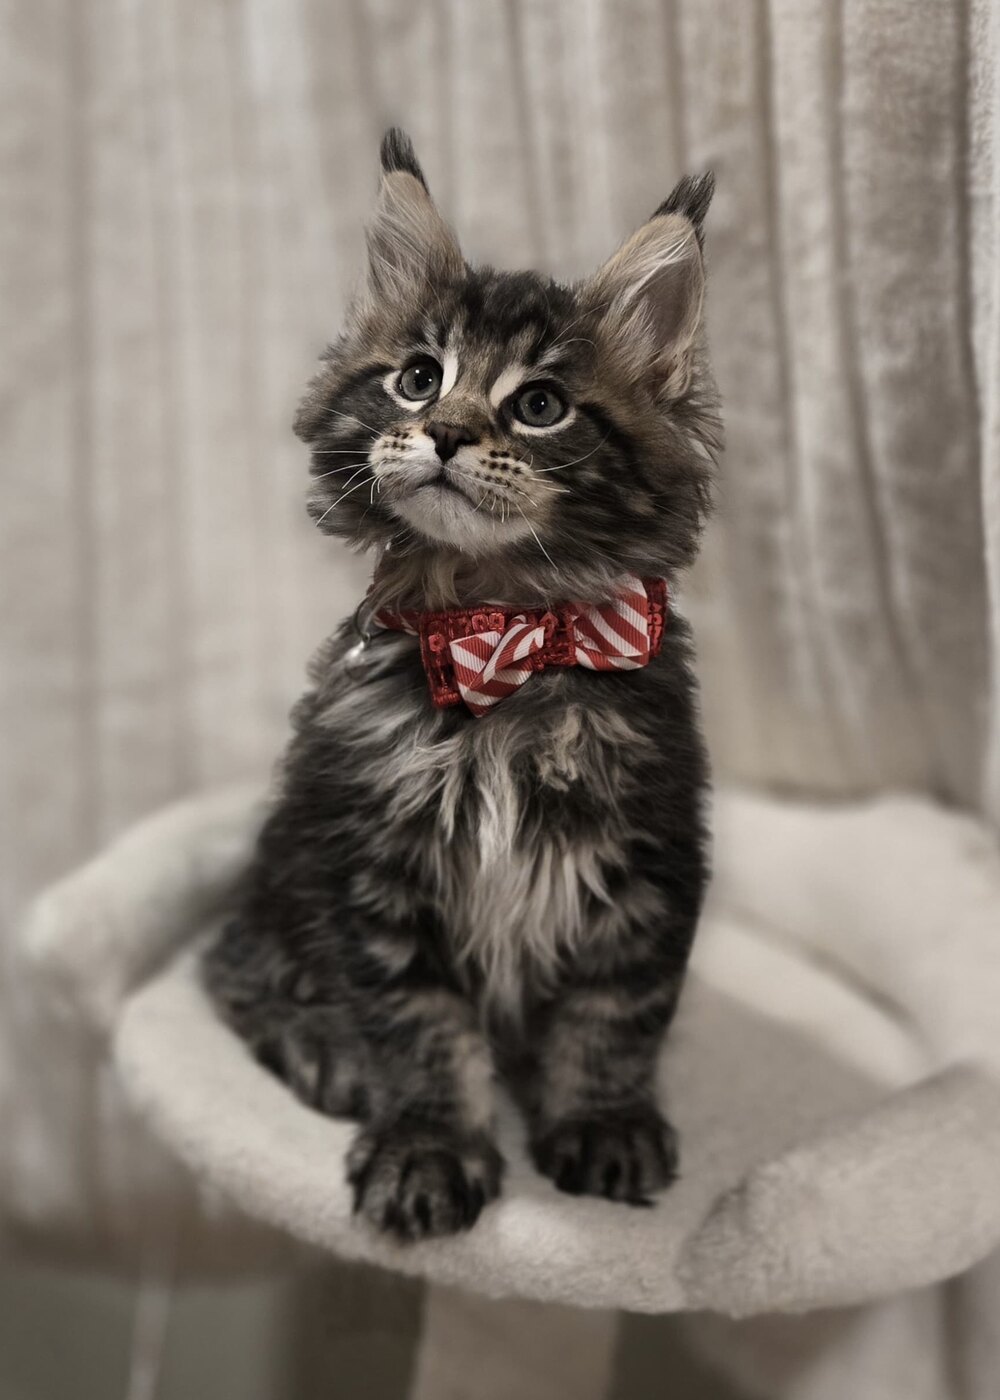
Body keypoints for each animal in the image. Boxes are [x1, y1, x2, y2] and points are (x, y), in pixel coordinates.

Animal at [205, 128, 721, 1241]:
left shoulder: (653, 849)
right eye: (415, 377)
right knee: (229, 972)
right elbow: (419, 1029)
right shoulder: (372, 862)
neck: (501, 633)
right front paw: (428, 1147)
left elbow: (614, 1013)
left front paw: (602, 1123)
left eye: (540, 405)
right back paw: (326, 1050)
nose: (441, 430)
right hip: (282, 870)